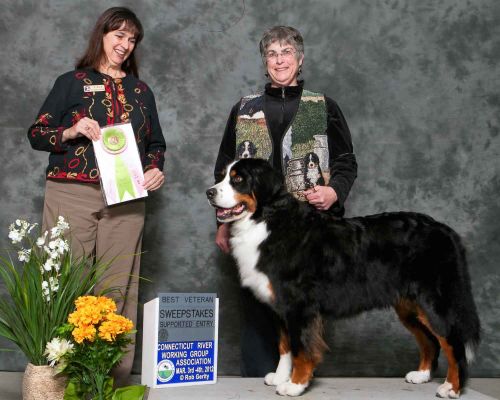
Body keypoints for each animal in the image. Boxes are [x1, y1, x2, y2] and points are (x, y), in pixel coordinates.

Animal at [206, 159, 480, 396]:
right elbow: (285, 347)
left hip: (435, 301)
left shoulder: (299, 305)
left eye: (238, 179)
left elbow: (300, 348)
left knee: (453, 342)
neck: (267, 220)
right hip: (409, 306)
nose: (209, 192)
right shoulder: (279, 305)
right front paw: (281, 376)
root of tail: (445, 230)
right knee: (430, 341)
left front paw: (295, 385)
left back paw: (451, 388)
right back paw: (421, 375)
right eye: (221, 176)